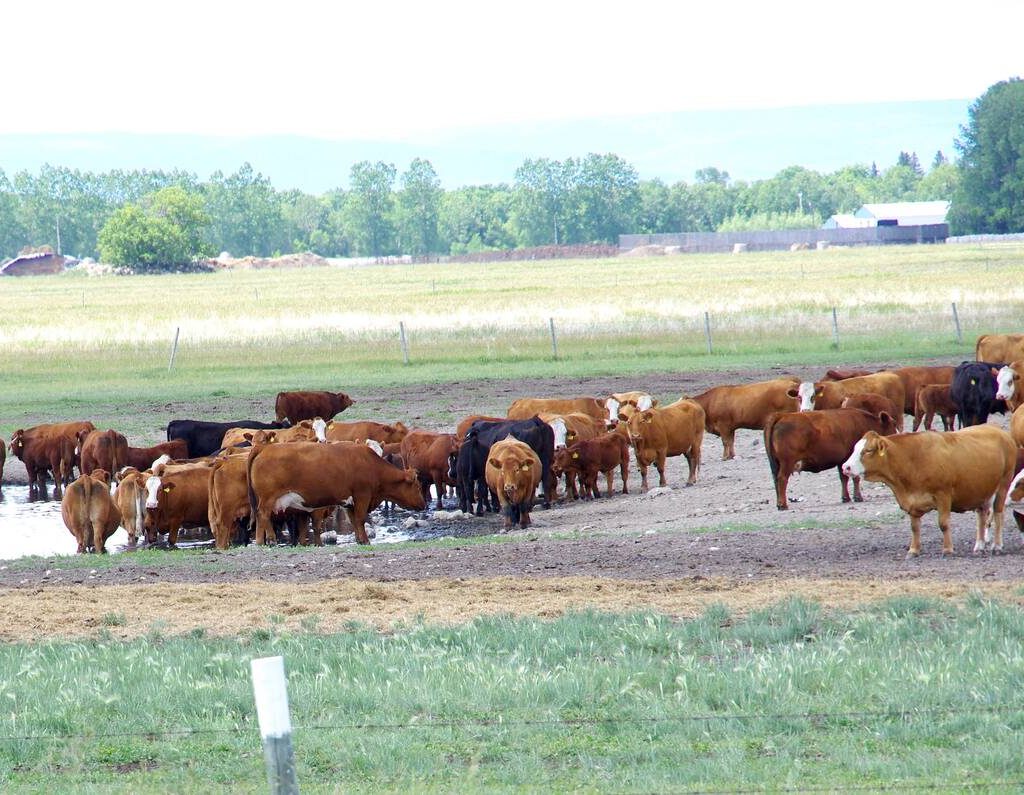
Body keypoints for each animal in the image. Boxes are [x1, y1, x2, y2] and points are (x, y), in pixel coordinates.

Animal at [247, 441, 425, 545]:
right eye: (417, 486)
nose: (423, 505)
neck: (372, 465)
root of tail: (264, 447)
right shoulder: (362, 496)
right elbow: (360, 519)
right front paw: (365, 540)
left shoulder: (349, 502)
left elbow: (354, 521)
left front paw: (359, 540)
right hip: (268, 499)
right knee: (263, 515)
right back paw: (269, 540)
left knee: (261, 517)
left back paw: (261, 541)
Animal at [764, 407, 899, 510]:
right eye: (893, 425)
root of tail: (782, 415)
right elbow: (854, 478)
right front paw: (858, 497)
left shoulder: (842, 461)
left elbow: (843, 478)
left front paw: (846, 497)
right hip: (787, 462)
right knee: (782, 479)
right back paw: (783, 505)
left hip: (776, 464)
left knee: (776, 480)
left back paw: (779, 503)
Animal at [842, 425, 1017, 556]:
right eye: (855, 449)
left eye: (868, 450)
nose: (845, 467)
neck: (912, 460)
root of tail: (1002, 433)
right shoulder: (912, 501)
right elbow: (915, 527)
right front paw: (913, 550)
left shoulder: (943, 495)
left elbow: (943, 523)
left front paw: (947, 549)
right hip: (981, 490)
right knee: (982, 515)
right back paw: (979, 545)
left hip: (1003, 484)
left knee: (998, 514)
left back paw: (997, 545)